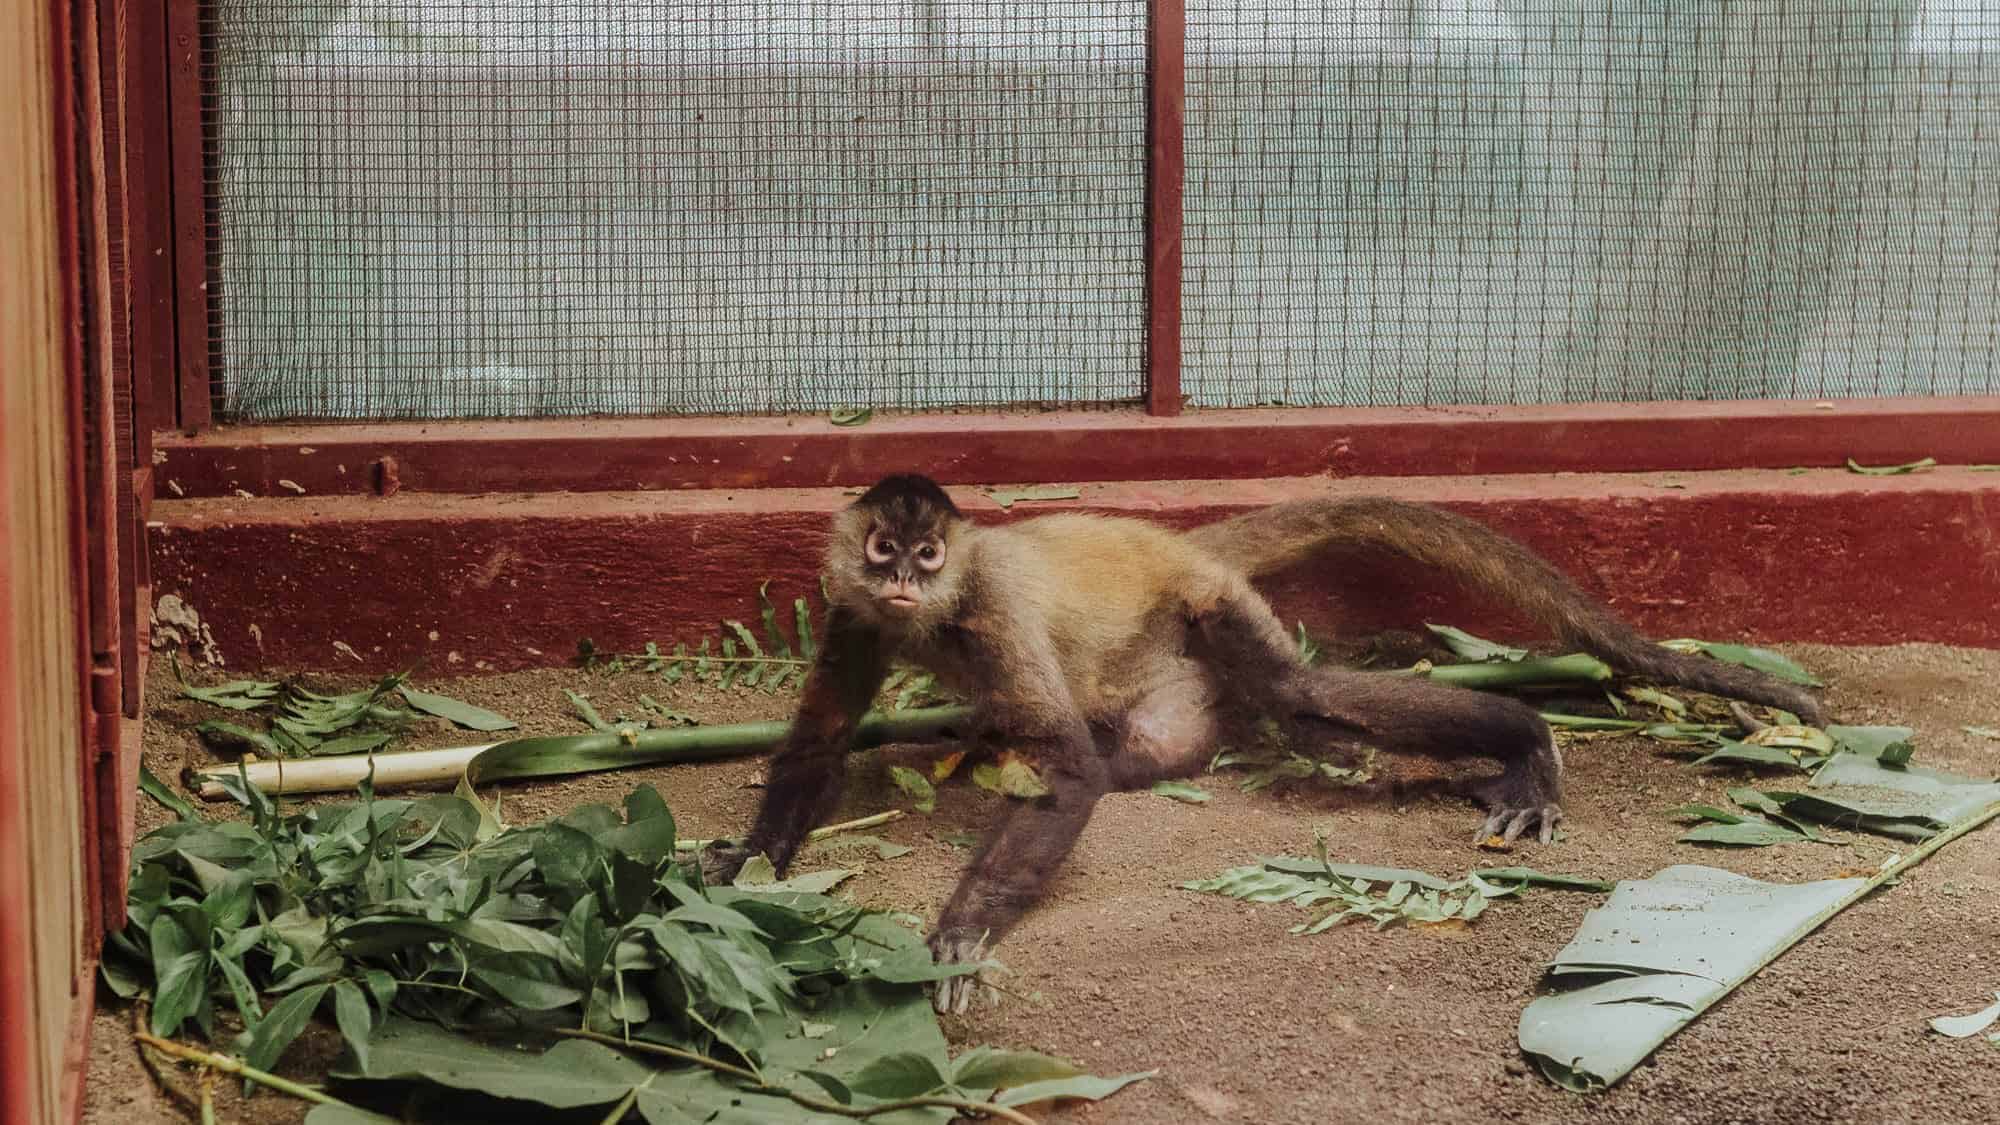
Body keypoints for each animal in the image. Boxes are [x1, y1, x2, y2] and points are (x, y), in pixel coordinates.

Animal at [701, 474, 1822, 1012]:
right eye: (882, 548)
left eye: (930, 554)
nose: (901, 577)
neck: (927, 612)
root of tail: (1170, 541)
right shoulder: (851, 612)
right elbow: (819, 741)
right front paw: (743, 873)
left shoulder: (987, 607)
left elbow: (1067, 773)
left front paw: (962, 933)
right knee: (1178, 743)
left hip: (1207, 605)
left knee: (1291, 694)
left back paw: (1525, 743)